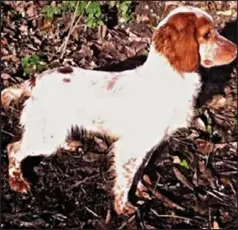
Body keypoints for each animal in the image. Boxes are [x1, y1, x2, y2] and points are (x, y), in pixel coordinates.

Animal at [1, 6, 236, 215]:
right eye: (207, 34)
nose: (236, 49)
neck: (170, 79)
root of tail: (36, 80)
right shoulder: (130, 147)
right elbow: (125, 179)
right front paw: (123, 208)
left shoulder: (150, 145)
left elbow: (138, 171)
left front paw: (140, 191)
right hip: (46, 136)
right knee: (13, 148)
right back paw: (17, 181)